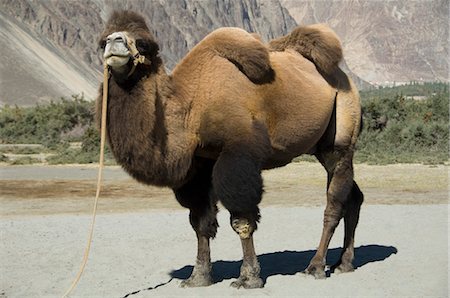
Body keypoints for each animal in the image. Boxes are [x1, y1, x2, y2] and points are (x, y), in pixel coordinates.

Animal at [96, 10, 364, 288]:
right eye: (102, 41)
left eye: (143, 43)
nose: (114, 42)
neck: (191, 106)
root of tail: (345, 79)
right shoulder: (200, 164)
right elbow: (200, 221)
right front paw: (198, 277)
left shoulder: (238, 152)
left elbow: (241, 218)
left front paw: (248, 278)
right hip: (320, 147)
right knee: (354, 196)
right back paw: (344, 263)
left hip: (341, 133)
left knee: (334, 202)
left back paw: (316, 266)